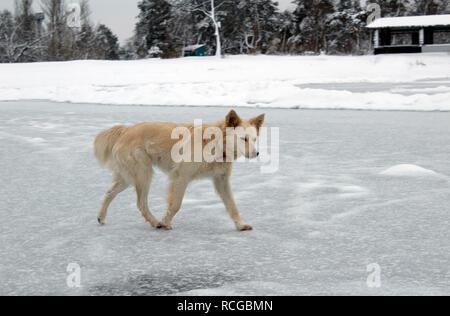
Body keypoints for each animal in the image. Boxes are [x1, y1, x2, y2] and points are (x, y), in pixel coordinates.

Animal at [94, 110, 264, 231]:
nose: (256, 153)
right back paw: (156, 222)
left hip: (129, 177)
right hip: (144, 174)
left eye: (254, 139)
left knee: (109, 193)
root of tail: (125, 130)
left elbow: (232, 205)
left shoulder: (221, 180)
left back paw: (101, 217)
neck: (215, 143)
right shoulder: (181, 176)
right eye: (243, 139)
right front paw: (165, 222)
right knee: (141, 203)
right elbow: (176, 204)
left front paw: (240, 225)